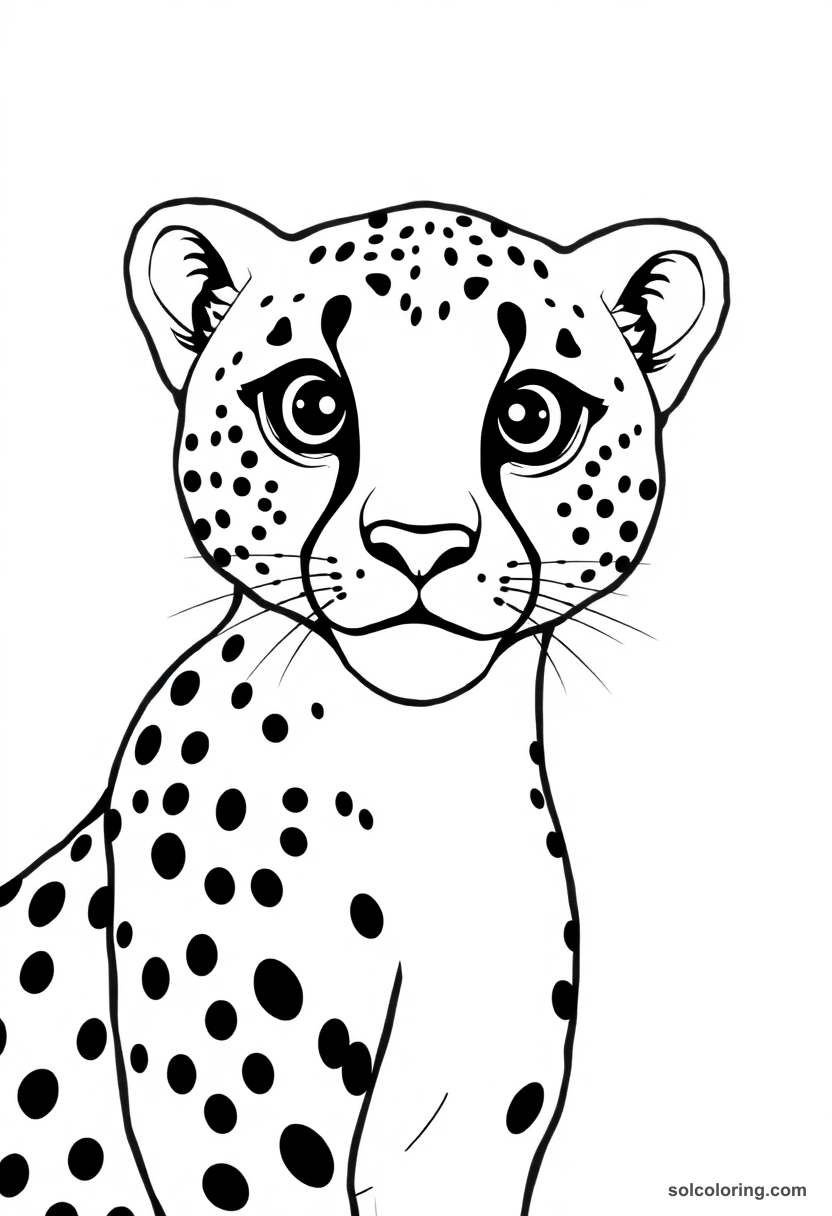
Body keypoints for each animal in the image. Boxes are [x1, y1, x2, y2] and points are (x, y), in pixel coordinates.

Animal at [0, 198, 728, 1215]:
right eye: (311, 406)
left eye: (530, 416)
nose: (419, 544)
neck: (422, 762)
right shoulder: (249, 1145)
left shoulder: (470, 1148)